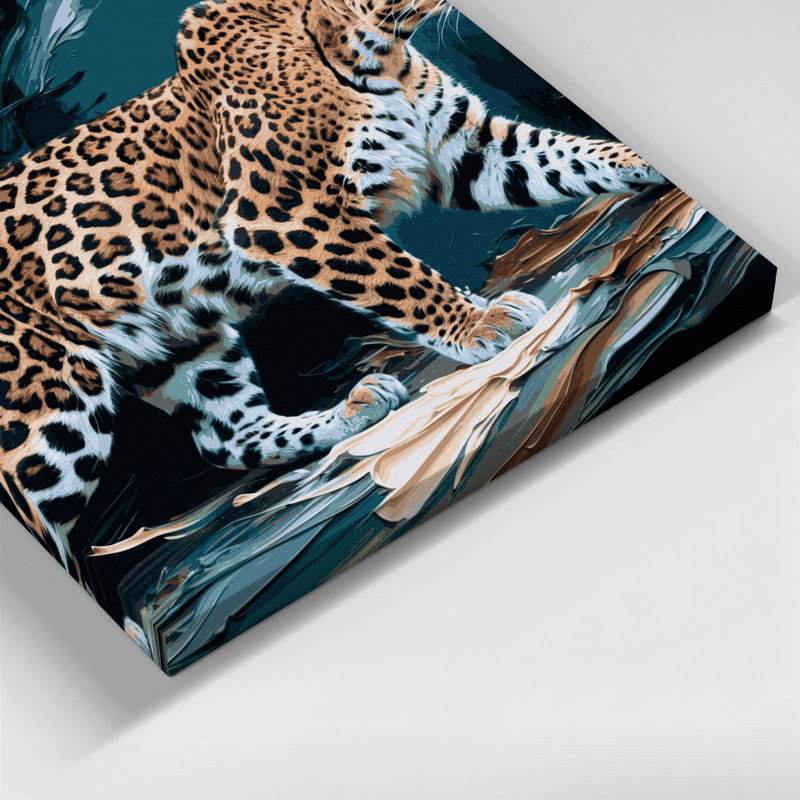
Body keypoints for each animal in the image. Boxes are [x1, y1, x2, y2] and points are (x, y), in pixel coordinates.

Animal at [0, 0, 663, 573]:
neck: (377, 51)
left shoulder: (471, 149)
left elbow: (567, 153)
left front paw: (639, 163)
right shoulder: (287, 212)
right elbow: (398, 276)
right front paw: (479, 323)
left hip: (183, 339)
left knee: (225, 436)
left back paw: (349, 412)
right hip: (48, 410)